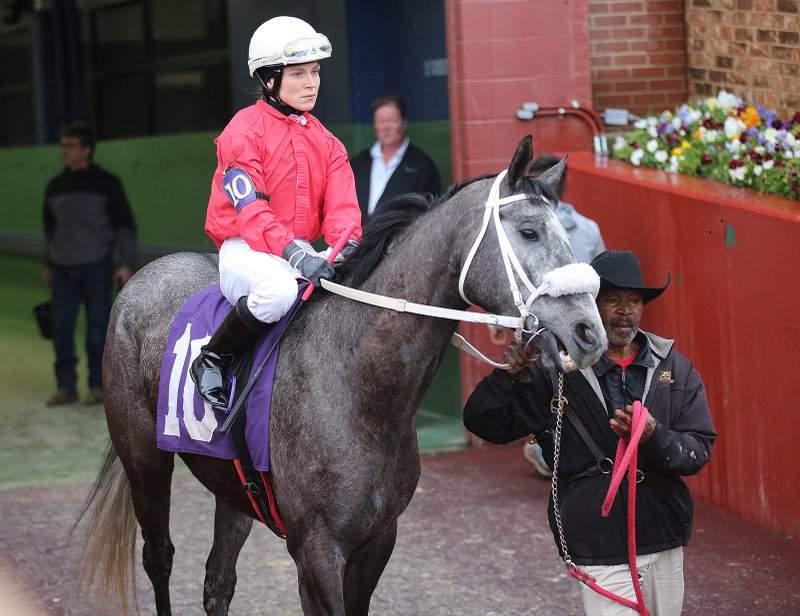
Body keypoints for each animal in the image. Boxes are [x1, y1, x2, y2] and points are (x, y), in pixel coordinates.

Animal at [79, 136, 608, 616]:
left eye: (568, 234)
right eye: (530, 232)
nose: (589, 332)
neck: (360, 389)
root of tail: (142, 277)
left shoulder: (377, 540)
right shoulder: (316, 549)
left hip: (231, 482)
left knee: (218, 581)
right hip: (145, 460)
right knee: (160, 557)